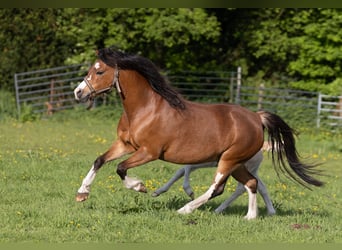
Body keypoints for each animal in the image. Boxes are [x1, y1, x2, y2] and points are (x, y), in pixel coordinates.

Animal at [73, 47, 324, 219]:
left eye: (100, 71)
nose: (78, 92)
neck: (145, 109)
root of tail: (256, 117)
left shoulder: (149, 152)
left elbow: (120, 168)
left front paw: (140, 187)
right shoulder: (125, 144)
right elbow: (99, 160)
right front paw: (82, 193)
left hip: (229, 160)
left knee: (218, 188)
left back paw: (186, 209)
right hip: (237, 163)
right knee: (251, 183)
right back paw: (250, 217)